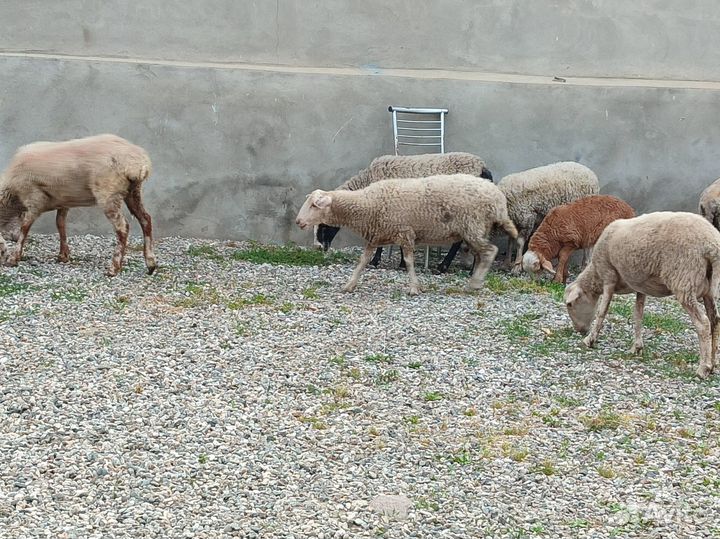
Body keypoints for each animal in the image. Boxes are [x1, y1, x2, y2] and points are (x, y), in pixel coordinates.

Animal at [0, 134, 156, 276]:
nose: (3, 256)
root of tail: (138, 163)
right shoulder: (63, 201)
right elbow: (60, 225)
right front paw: (63, 255)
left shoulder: (34, 200)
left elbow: (25, 228)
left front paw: (13, 258)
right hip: (133, 191)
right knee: (145, 219)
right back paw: (150, 263)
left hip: (109, 193)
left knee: (122, 227)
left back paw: (114, 268)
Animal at [296, 173, 517, 295]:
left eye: (314, 205)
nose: (298, 222)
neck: (368, 204)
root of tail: (498, 198)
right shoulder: (376, 236)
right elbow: (363, 261)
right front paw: (349, 285)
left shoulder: (405, 233)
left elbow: (409, 262)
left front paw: (413, 288)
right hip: (476, 229)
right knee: (482, 254)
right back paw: (476, 279)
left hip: (472, 226)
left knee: (490, 251)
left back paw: (475, 283)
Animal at [313, 152, 493, 273]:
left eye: (323, 225)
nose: (320, 248)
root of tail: (482, 167)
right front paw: (401, 262)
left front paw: (375, 261)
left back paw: (446, 266)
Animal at [564, 211, 720, 378]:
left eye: (570, 304)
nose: (579, 330)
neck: (595, 275)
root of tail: (712, 245)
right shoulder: (640, 286)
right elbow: (638, 314)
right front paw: (637, 347)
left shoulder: (608, 275)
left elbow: (602, 312)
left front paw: (590, 339)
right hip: (707, 288)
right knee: (714, 320)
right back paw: (713, 364)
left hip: (685, 279)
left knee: (703, 323)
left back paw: (703, 368)